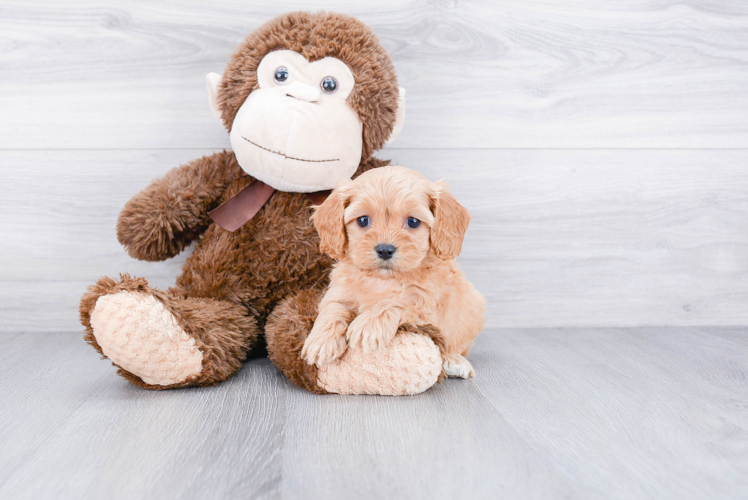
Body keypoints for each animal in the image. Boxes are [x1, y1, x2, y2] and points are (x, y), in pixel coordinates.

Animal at [300, 166, 488, 376]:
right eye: (363, 220)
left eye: (413, 222)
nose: (385, 250)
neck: (383, 280)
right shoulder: (338, 293)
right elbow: (334, 309)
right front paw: (321, 341)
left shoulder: (426, 308)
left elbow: (398, 303)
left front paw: (369, 324)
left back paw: (454, 360)